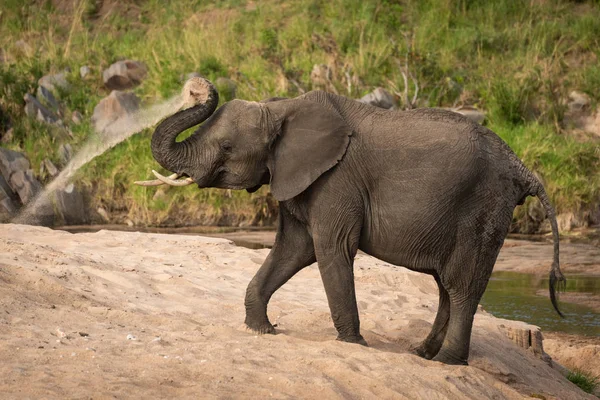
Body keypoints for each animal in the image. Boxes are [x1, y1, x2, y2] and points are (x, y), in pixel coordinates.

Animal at [135, 77, 564, 366]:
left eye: (226, 147)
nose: (197, 86)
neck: (282, 108)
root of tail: (522, 167)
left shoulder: (337, 179)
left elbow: (331, 248)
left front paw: (352, 344)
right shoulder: (298, 175)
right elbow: (293, 249)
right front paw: (263, 330)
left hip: (483, 208)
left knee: (462, 286)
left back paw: (447, 363)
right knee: (446, 286)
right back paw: (422, 354)